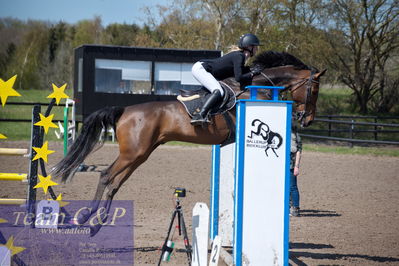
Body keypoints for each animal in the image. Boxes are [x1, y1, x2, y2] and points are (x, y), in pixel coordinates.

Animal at [51, 50, 326, 235]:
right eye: (314, 90)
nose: (308, 119)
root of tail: (125, 110)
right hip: (133, 153)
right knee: (106, 176)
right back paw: (88, 219)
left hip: (141, 154)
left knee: (115, 183)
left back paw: (96, 223)